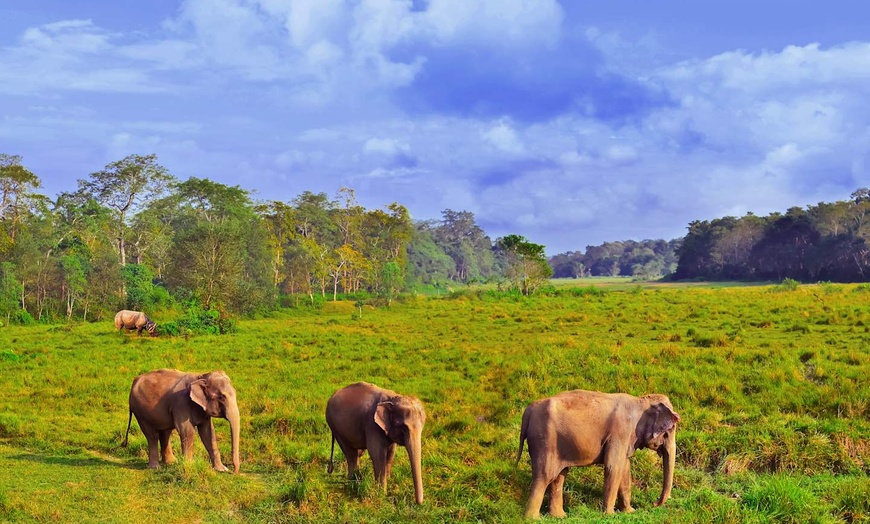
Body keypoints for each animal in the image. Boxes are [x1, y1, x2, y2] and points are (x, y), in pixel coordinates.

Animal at [516, 386, 680, 516]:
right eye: (668, 431)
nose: (654, 504)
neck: (640, 400)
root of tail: (528, 410)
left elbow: (624, 468)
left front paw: (629, 511)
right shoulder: (620, 431)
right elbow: (613, 467)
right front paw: (609, 514)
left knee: (559, 476)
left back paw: (559, 516)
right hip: (544, 440)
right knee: (545, 476)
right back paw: (533, 518)